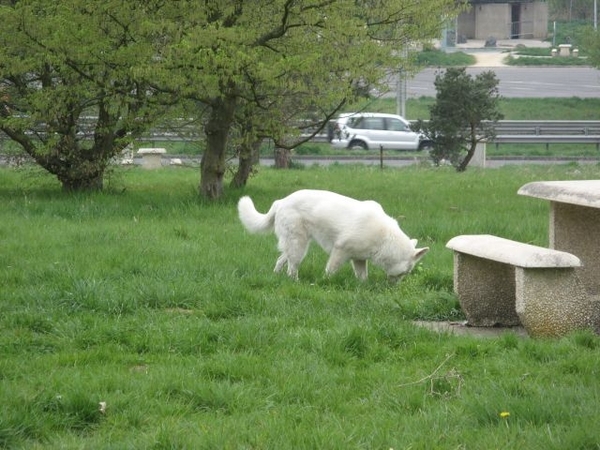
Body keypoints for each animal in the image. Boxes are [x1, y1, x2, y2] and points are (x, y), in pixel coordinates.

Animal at [237, 189, 428, 282]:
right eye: (405, 272)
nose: (394, 287)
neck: (385, 239)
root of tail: (281, 202)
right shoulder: (340, 251)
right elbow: (330, 271)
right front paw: (325, 282)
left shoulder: (359, 259)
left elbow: (363, 277)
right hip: (299, 246)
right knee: (292, 268)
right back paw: (295, 281)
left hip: (293, 245)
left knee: (281, 260)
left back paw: (276, 276)